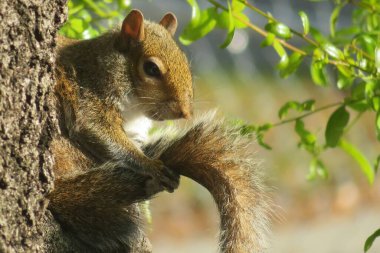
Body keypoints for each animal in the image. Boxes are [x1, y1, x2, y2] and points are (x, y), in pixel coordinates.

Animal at [47, 8, 272, 252]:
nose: (185, 112)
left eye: (186, 63)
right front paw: (151, 165)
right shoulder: (89, 93)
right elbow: (96, 128)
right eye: (151, 69)